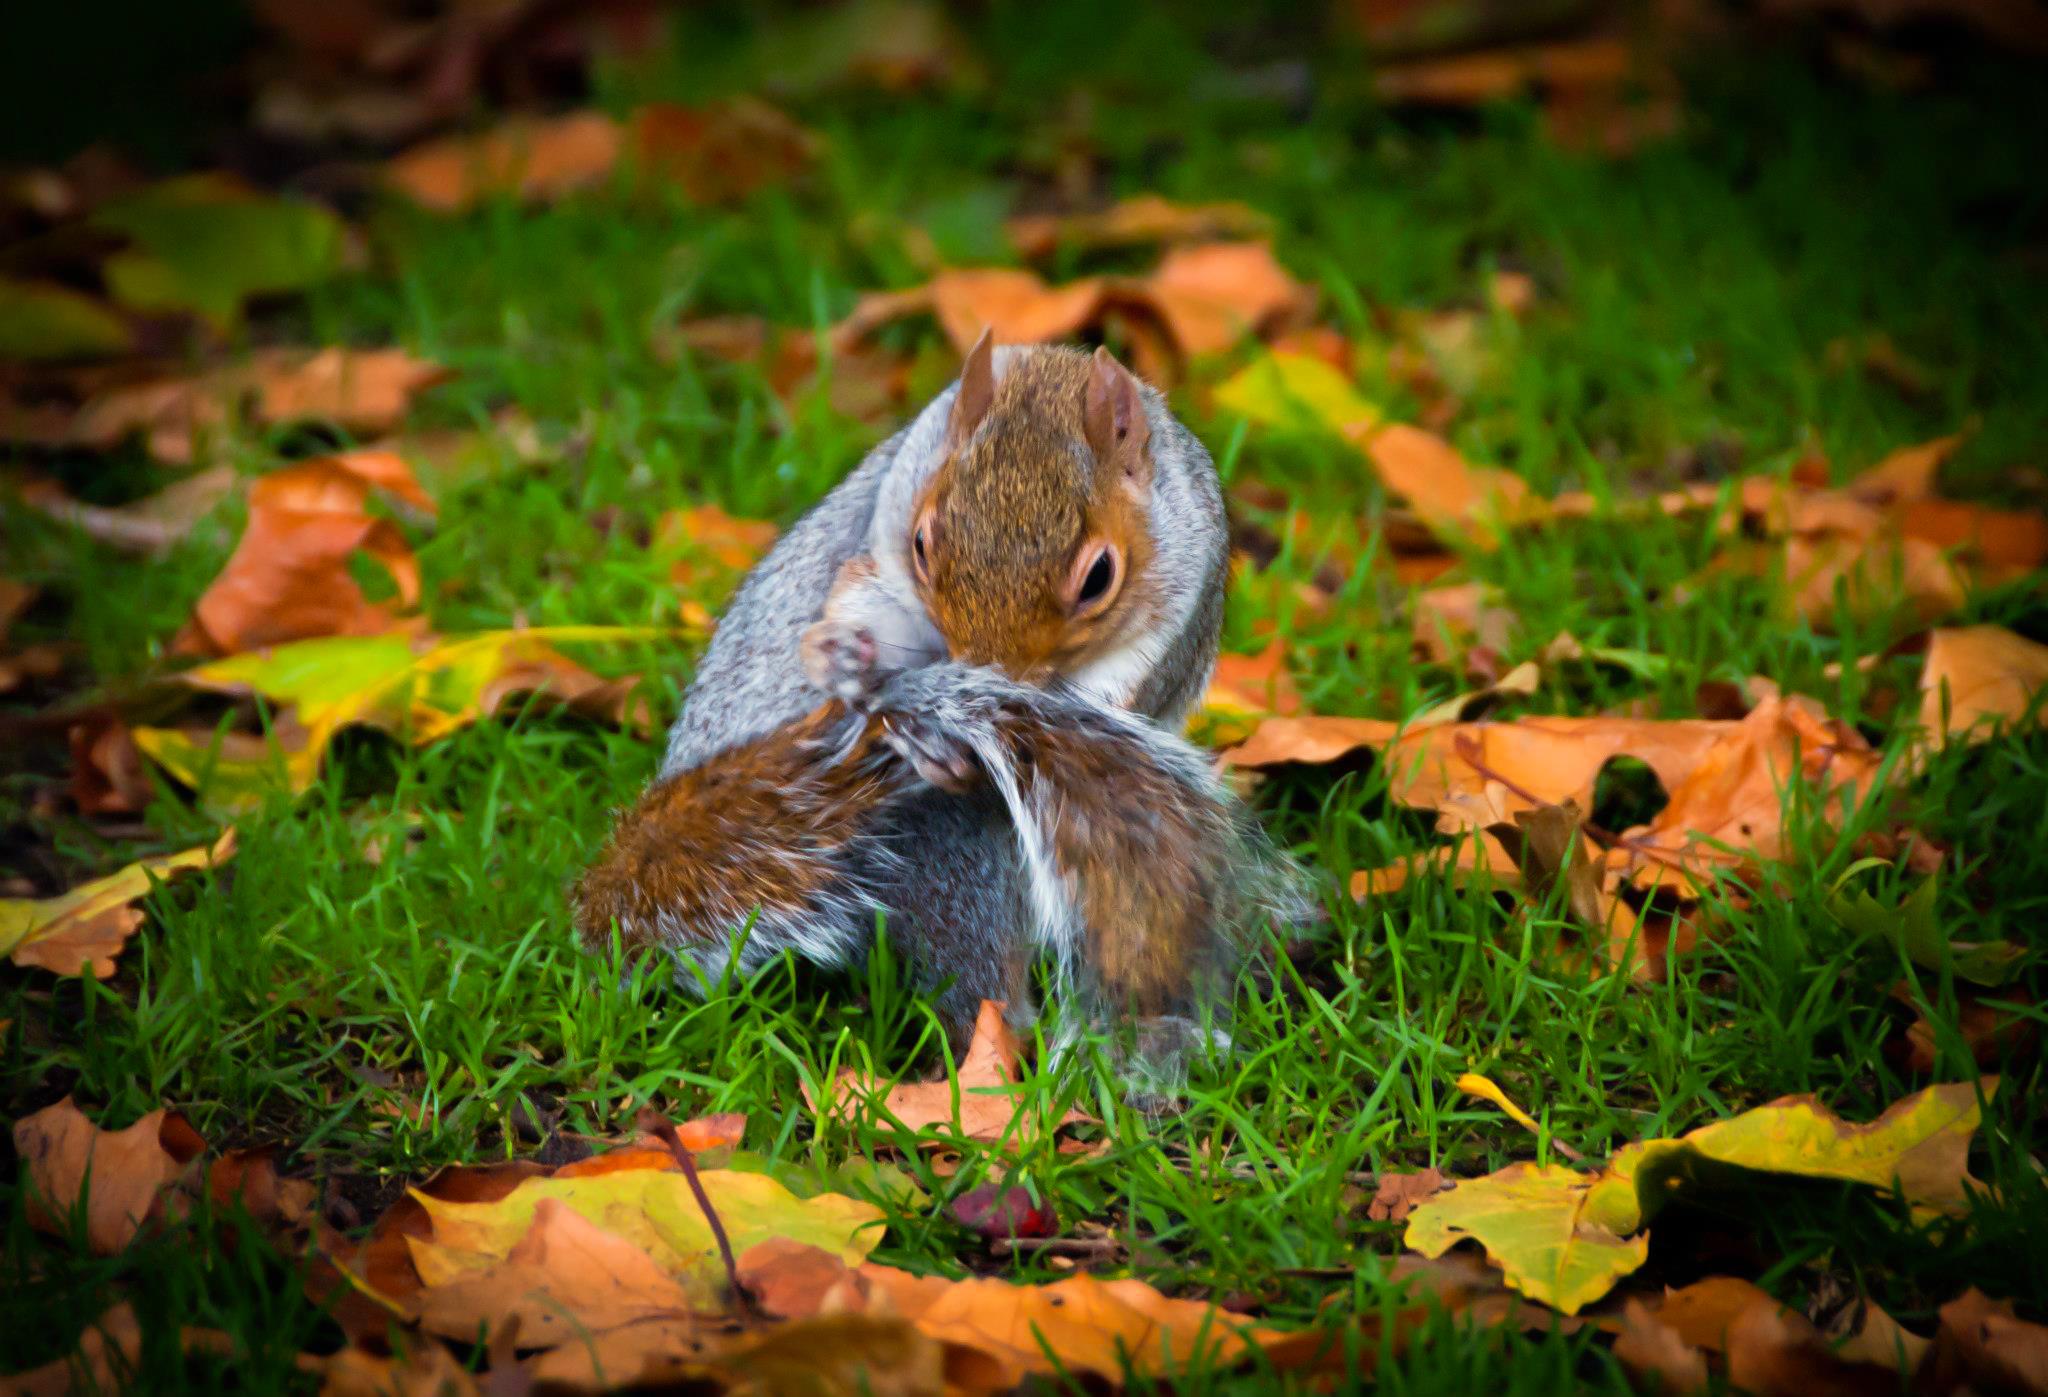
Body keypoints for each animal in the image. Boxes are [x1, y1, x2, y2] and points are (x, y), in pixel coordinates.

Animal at [575, 335, 1305, 1068]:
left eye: (1100, 577)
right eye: (922, 543)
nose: (984, 672)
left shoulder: (1170, 618)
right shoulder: (884, 537)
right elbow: (859, 598)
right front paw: (839, 653)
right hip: (946, 861)